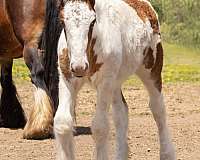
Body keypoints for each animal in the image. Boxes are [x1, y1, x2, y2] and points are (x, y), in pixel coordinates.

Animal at [54, 0, 176, 159]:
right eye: (62, 22)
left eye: (92, 22)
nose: (79, 67)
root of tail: (145, 5)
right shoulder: (67, 78)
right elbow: (62, 123)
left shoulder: (105, 81)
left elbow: (100, 127)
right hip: (115, 82)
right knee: (121, 112)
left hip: (151, 69)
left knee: (158, 108)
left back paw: (167, 153)